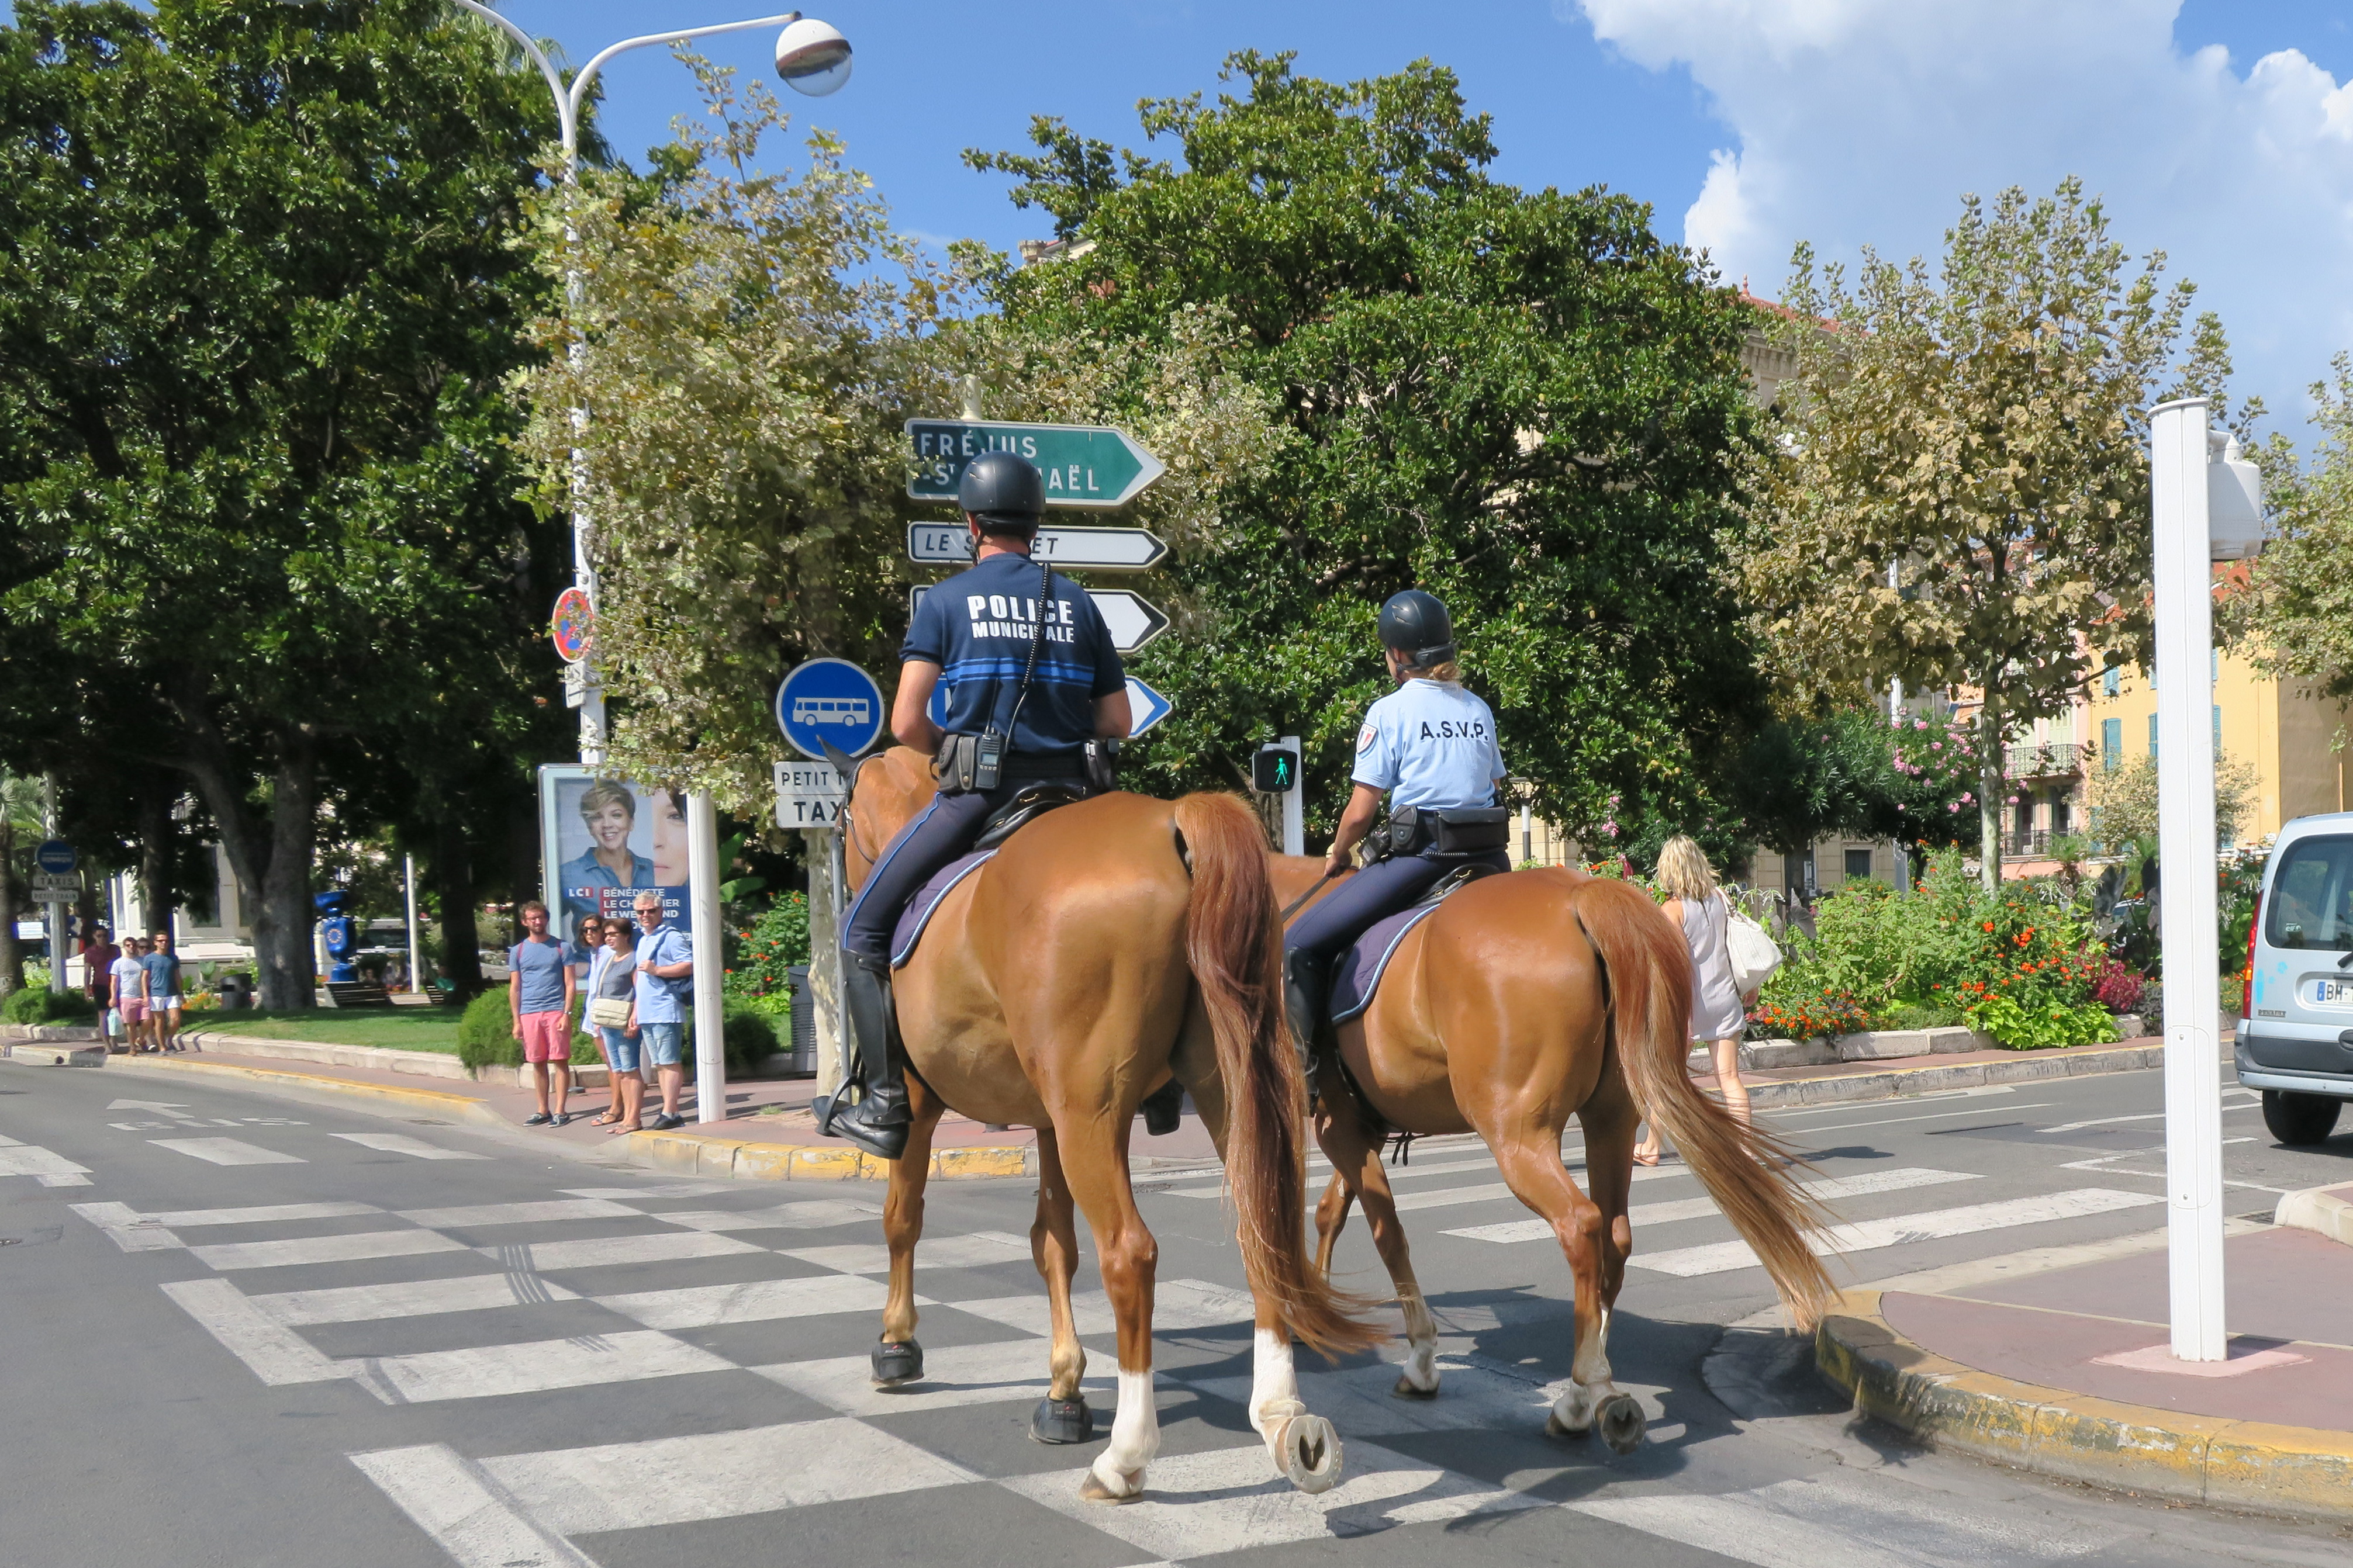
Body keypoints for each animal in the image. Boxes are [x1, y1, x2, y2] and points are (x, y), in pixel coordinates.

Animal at [842, 752, 1374, 1504]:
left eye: (842, 819)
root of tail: (1171, 823)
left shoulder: (921, 1103)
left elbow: (901, 1218)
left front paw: (896, 1344)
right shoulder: (1048, 1122)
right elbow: (1052, 1244)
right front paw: (1063, 1390)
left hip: (1090, 1116)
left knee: (1129, 1252)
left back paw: (1125, 1456)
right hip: (1220, 1089)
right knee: (1260, 1227)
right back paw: (1281, 1417)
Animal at [1280, 860, 1826, 1448]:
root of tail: (1581, 894)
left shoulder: (1337, 1127)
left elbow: (1386, 1234)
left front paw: (1411, 1355)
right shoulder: (1360, 1128)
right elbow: (1334, 1212)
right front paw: (1316, 1308)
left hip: (1518, 1134)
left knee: (1579, 1224)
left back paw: (1584, 1391)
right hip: (1611, 1119)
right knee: (1614, 1234)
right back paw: (1590, 1389)